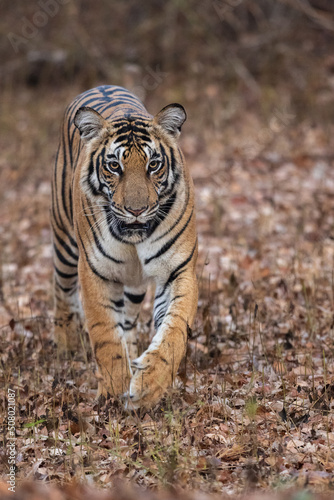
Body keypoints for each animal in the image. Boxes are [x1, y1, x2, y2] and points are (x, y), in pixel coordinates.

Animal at [51, 84, 198, 408]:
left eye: (153, 165)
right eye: (114, 166)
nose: (136, 210)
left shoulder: (177, 271)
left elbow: (174, 330)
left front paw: (148, 384)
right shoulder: (95, 272)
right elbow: (105, 333)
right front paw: (114, 389)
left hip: (133, 284)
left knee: (128, 319)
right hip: (64, 245)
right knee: (62, 292)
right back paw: (65, 344)